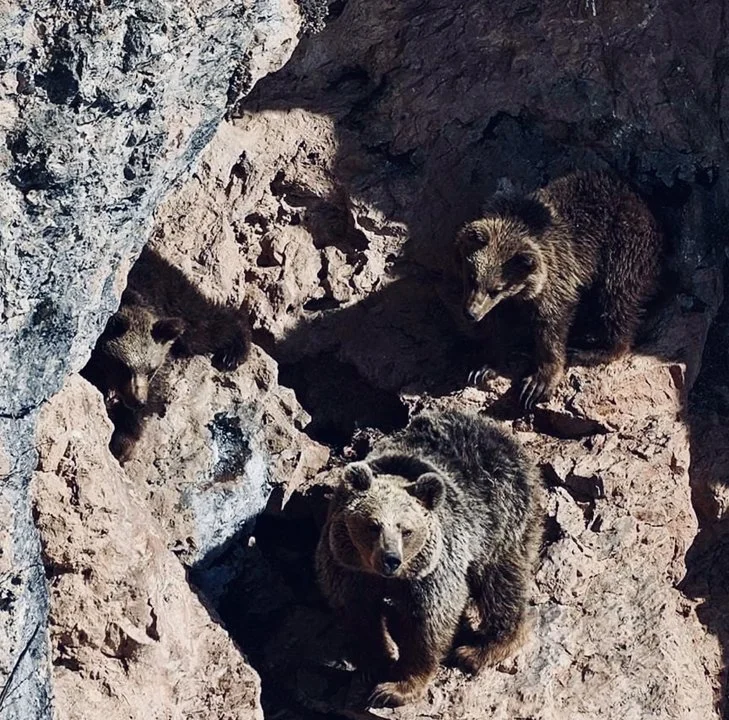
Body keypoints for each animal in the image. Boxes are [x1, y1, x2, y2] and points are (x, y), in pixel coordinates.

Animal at [315, 409, 542, 708]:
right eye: (373, 525)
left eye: (406, 529)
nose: (391, 559)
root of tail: (498, 432)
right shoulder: (346, 565)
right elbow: (359, 613)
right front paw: (377, 662)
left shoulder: (434, 568)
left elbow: (429, 622)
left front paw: (396, 688)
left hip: (503, 519)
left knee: (502, 583)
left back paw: (481, 649)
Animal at [456, 170, 663, 409]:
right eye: (472, 277)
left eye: (495, 289)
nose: (471, 313)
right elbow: (499, 327)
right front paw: (484, 367)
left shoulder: (559, 271)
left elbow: (551, 326)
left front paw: (537, 384)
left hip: (624, 249)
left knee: (617, 299)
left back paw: (593, 349)